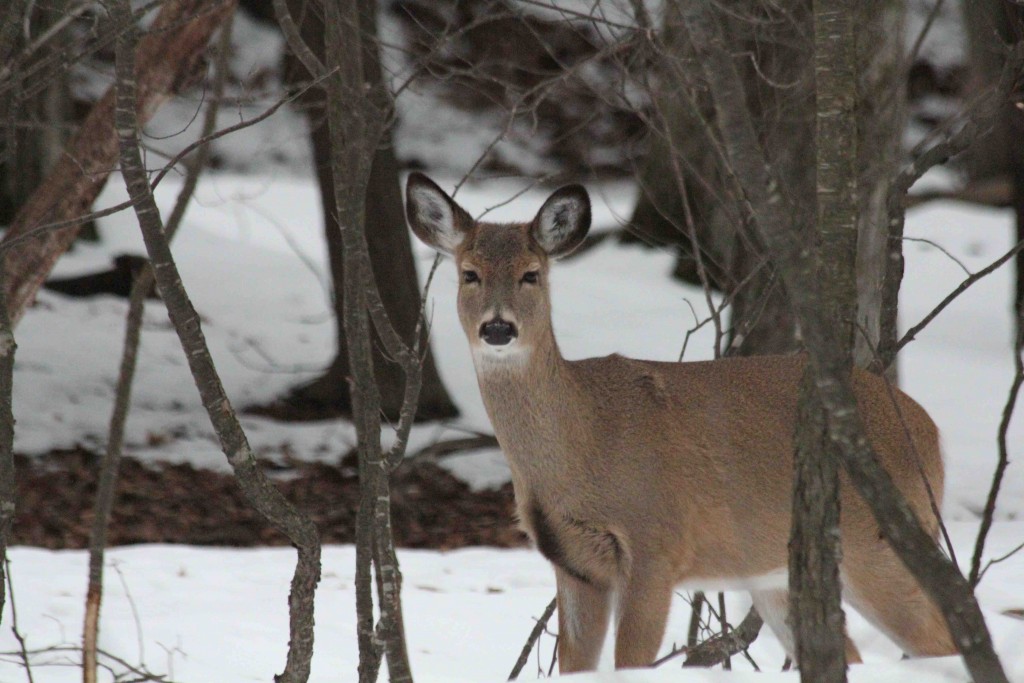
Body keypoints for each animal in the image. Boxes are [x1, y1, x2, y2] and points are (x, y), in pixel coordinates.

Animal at [403, 172, 954, 671]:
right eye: (469, 273)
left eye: (530, 274)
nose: (498, 328)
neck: (582, 441)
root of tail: (929, 431)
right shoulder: (576, 566)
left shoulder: (656, 544)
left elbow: (631, 661)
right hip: (779, 573)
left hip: (875, 540)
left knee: (942, 640)